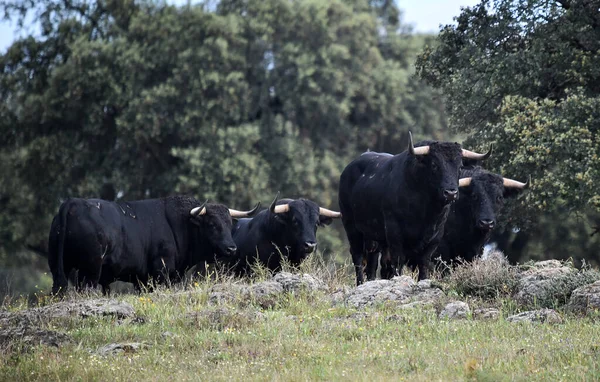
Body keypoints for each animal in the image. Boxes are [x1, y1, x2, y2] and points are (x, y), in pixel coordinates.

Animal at [48, 195, 258, 294]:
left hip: (60, 267)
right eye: (213, 225)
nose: (231, 248)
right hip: (90, 270)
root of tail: (72, 203)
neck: (180, 224)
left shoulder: (142, 279)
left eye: (229, 224)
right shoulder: (161, 271)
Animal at [340, 133, 490, 286]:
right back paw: (360, 283)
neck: (425, 211)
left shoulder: (434, 238)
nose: (451, 193)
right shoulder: (395, 235)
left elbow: (423, 264)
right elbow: (397, 263)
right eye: (434, 165)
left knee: (373, 262)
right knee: (358, 257)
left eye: (459, 167)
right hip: (351, 227)